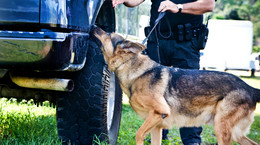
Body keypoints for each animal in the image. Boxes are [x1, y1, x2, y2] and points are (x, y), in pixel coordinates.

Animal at [92, 27, 258, 145]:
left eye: (108, 33)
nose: (93, 26)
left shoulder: (160, 112)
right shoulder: (156, 127)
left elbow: (138, 134)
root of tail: (250, 88)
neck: (130, 66)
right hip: (234, 133)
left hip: (221, 129)